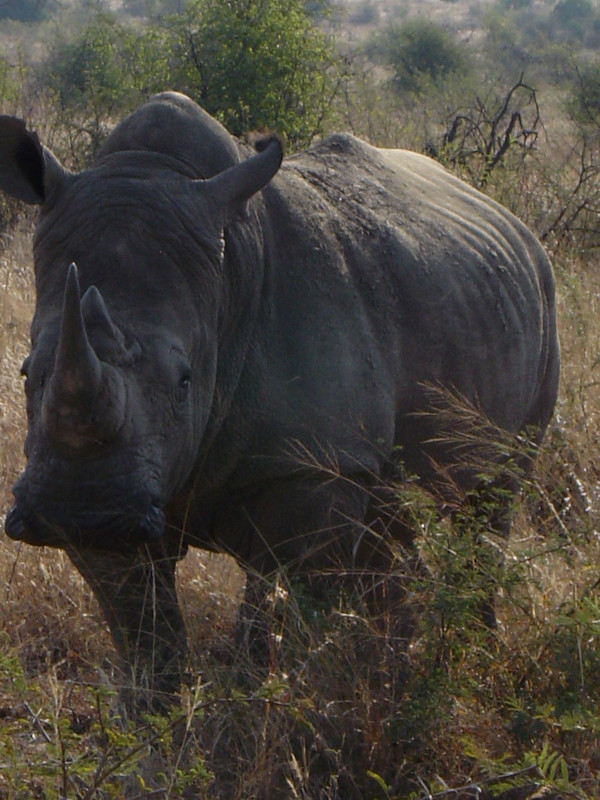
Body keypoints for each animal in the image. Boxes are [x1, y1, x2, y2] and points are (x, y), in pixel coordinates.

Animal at [0, 92, 559, 700]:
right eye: (27, 373)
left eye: (185, 381)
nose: (82, 508)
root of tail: (512, 221)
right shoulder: (121, 502)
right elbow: (145, 629)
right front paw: (156, 712)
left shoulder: (311, 466)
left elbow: (272, 619)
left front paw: (258, 707)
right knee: (392, 523)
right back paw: (400, 667)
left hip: (543, 298)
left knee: (491, 501)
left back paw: (463, 655)